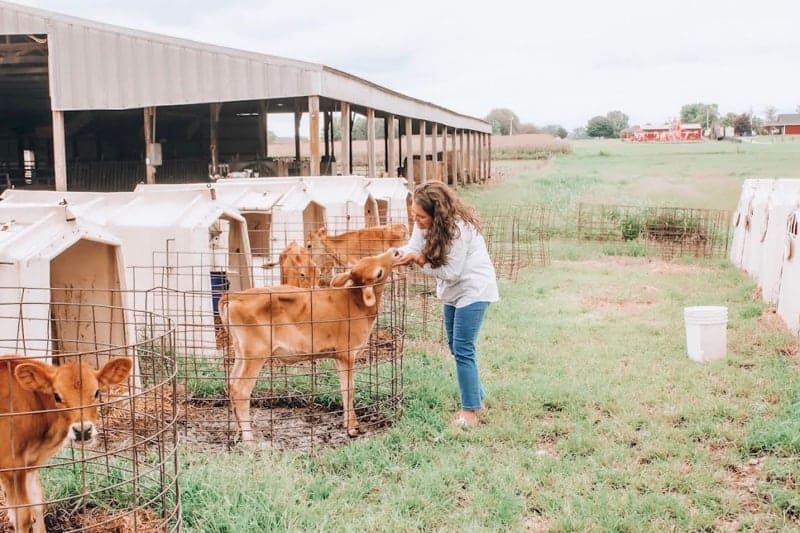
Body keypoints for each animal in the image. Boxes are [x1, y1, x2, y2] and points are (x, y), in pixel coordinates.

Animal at [0, 354, 131, 532]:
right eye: (56, 396)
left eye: (97, 392)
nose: (83, 430)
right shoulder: (11, 465)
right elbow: (22, 516)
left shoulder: (30, 465)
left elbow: (37, 505)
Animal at [219, 245, 404, 440]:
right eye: (379, 273)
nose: (395, 251)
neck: (355, 301)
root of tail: (234, 297)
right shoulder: (348, 354)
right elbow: (349, 390)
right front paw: (353, 428)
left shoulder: (339, 357)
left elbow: (343, 389)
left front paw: (348, 424)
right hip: (256, 354)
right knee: (241, 390)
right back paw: (248, 439)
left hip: (241, 352)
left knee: (231, 384)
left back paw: (237, 432)